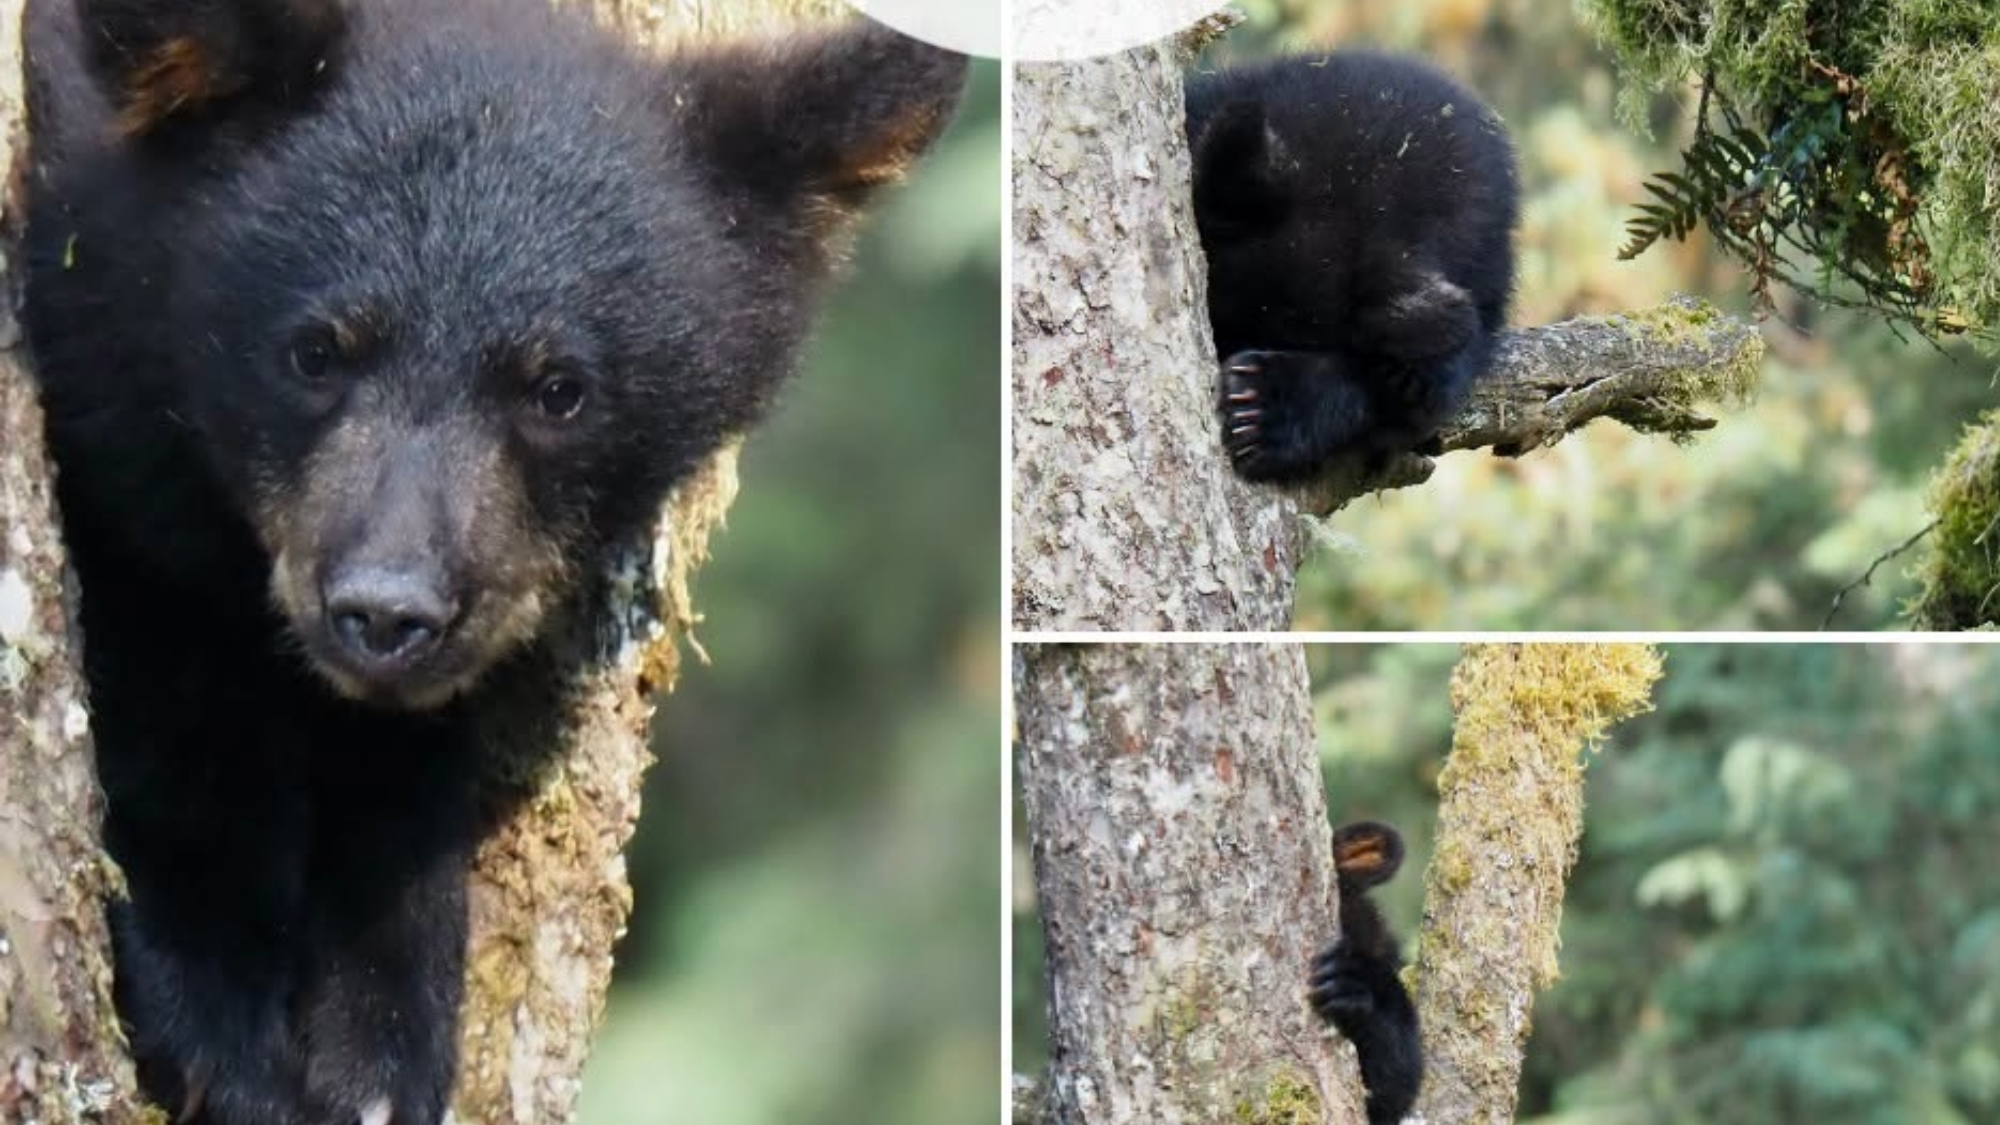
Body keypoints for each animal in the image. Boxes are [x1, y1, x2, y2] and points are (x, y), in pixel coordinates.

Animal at [19, 0, 965, 1122]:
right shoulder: (128, 491)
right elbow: (163, 719)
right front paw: (222, 1031)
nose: (386, 613)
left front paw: (383, 1043)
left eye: (558, 388)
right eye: (315, 350)